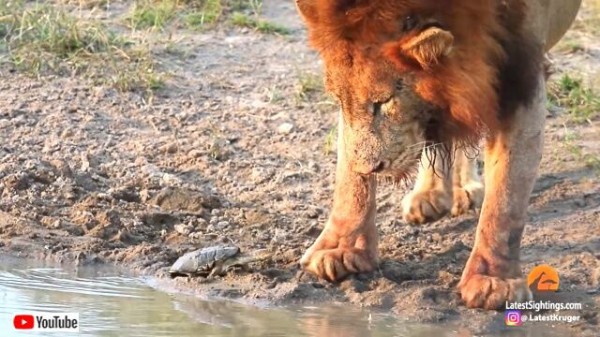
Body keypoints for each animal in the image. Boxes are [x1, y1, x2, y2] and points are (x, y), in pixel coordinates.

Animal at [296, 0, 580, 308]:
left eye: (385, 102)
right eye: (339, 100)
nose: (371, 168)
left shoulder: (519, 75)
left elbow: (506, 198)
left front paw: (494, 281)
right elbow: (350, 175)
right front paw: (339, 249)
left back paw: (465, 187)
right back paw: (431, 193)